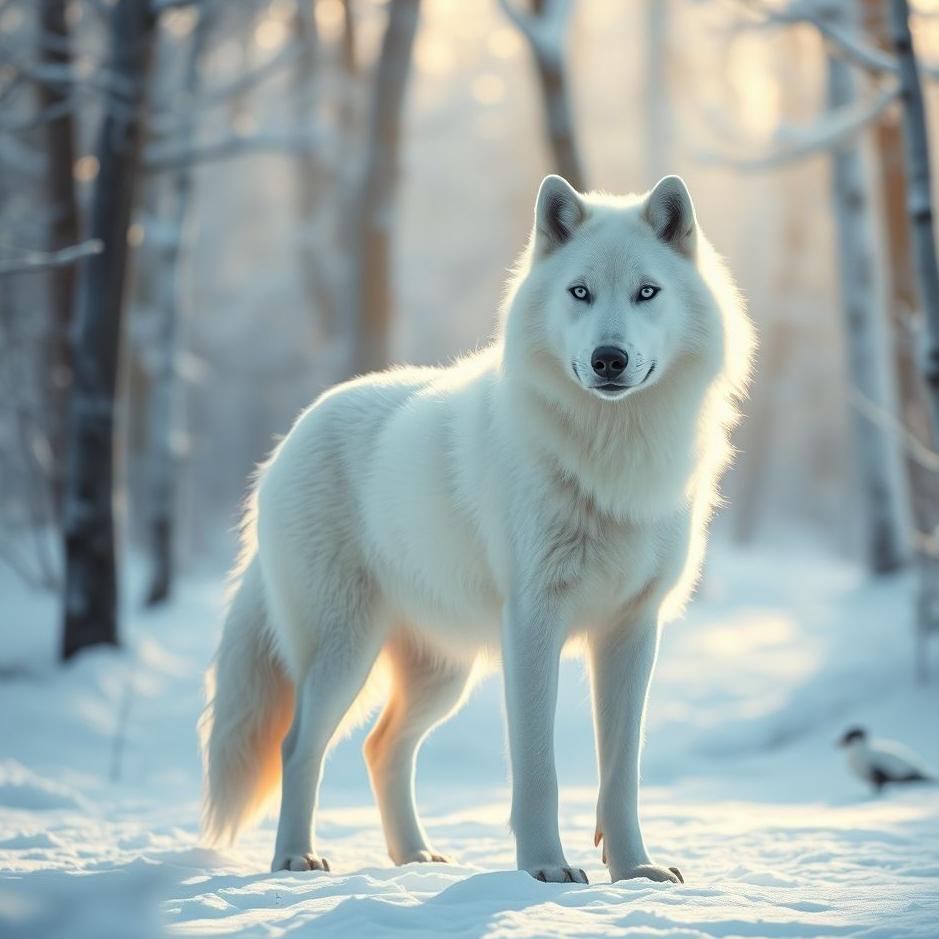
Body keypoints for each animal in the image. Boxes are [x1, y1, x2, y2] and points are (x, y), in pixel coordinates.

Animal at [201, 174, 754, 884]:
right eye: (580, 292)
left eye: (647, 292)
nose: (608, 358)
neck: (610, 457)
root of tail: (284, 444)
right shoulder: (533, 623)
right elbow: (539, 770)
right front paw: (545, 868)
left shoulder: (633, 631)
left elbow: (620, 775)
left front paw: (635, 872)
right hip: (345, 653)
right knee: (299, 746)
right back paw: (296, 857)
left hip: (443, 674)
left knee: (382, 746)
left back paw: (414, 856)